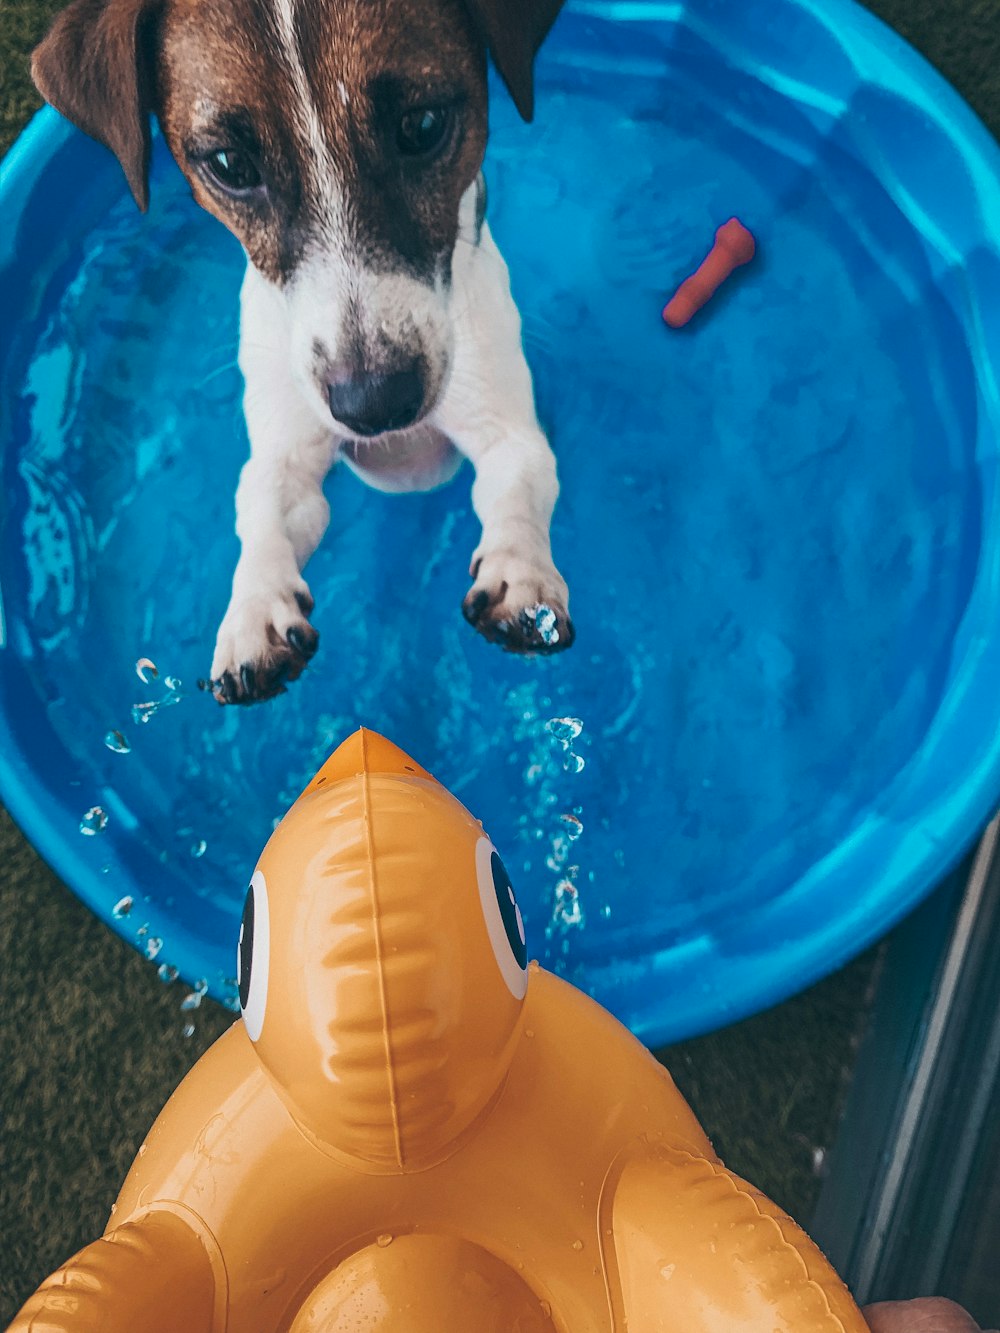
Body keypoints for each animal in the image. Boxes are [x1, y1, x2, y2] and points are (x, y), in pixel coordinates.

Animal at [31, 0, 570, 703]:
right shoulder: (286, 447)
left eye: (422, 125)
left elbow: (521, 484)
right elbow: (263, 506)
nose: (374, 405)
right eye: (230, 165)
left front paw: (521, 572)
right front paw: (253, 611)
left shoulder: (504, 424)